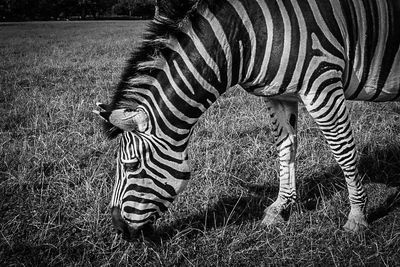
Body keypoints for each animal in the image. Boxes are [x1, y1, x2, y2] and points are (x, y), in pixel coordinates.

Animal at [94, 0, 400, 241]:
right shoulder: (279, 94)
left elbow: (343, 151)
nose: (118, 230)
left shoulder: (322, 84)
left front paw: (358, 216)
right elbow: (285, 148)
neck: (244, 38)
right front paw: (280, 208)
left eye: (131, 165)